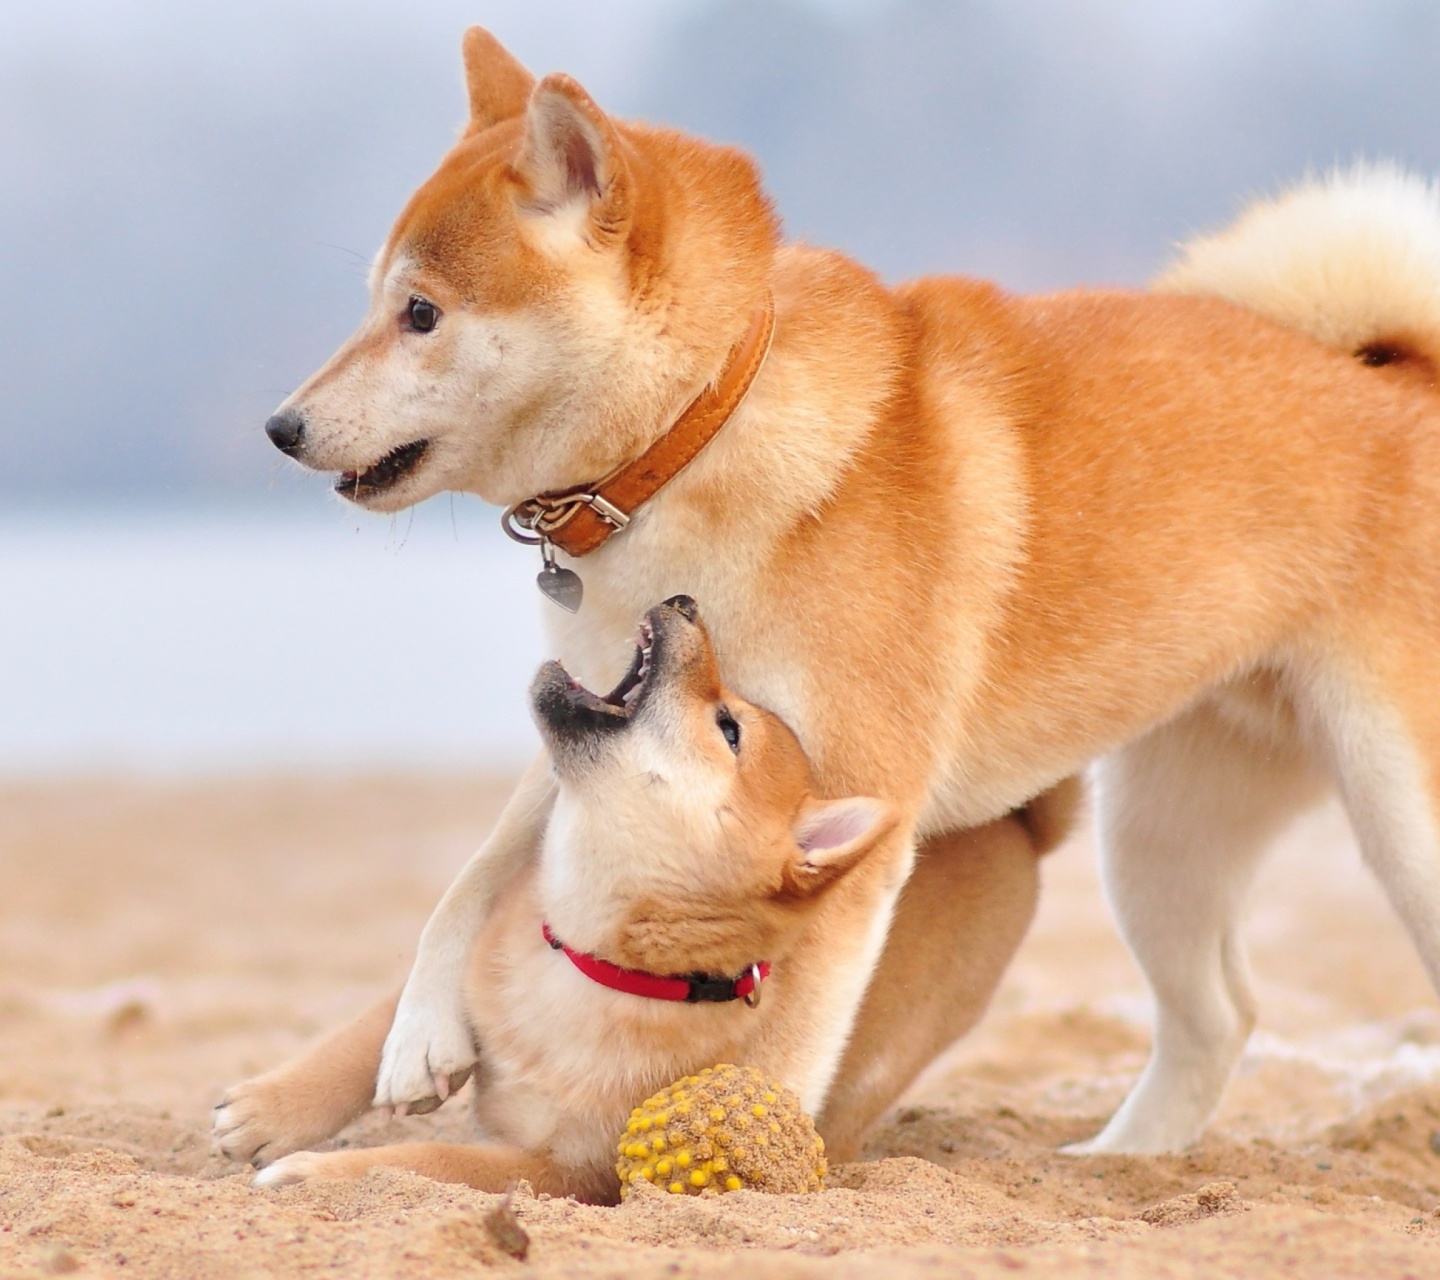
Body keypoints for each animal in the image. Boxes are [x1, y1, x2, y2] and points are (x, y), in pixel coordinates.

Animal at [216, 593, 1025, 1192]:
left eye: (729, 727)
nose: (685, 599)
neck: (585, 960)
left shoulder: (565, 1171)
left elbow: (432, 1162)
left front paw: (316, 1175)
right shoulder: (479, 953)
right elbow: (369, 1034)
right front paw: (267, 1111)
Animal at [253, 22, 1440, 1157]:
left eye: (420, 314)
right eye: (378, 303)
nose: (280, 427)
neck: (696, 434)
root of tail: (1399, 388)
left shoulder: (844, 807)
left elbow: (792, 1032)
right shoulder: (612, 715)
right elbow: (469, 879)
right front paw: (419, 1032)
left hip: (1397, 817)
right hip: (1161, 839)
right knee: (1217, 1016)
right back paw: (1121, 1160)